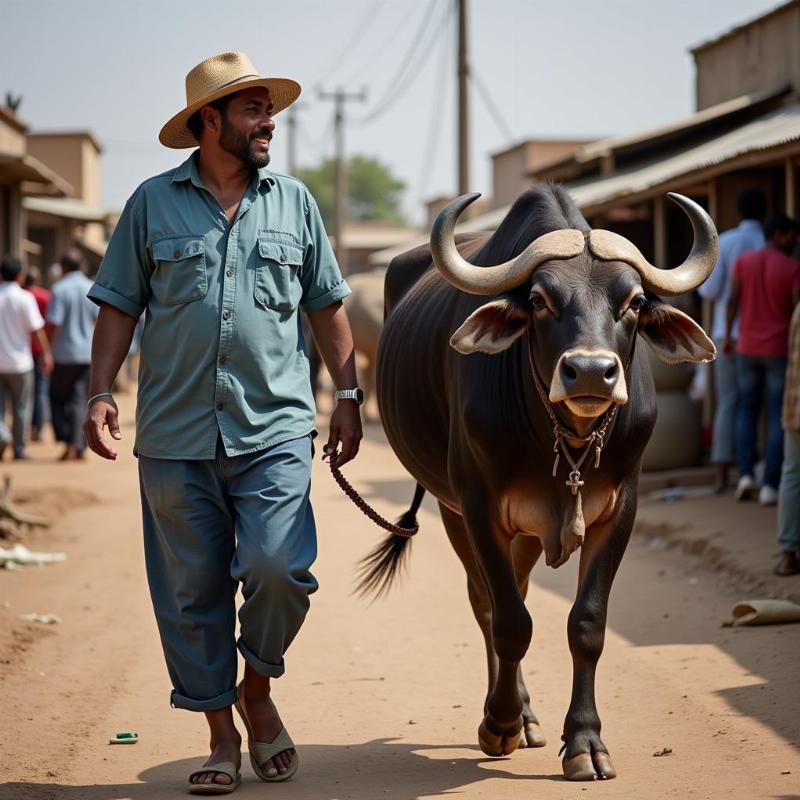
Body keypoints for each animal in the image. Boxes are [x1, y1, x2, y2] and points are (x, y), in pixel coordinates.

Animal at [360, 184, 716, 780]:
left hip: (521, 535)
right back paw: (513, 716)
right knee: (486, 603)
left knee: (519, 593)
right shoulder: (479, 507)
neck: (563, 441)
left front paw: (586, 742)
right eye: (540, 299)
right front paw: (499, 723)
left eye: (633, 302)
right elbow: (509, 622)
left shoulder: (620, 510)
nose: (591, 372)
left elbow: (587, 624)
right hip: (453, 511)